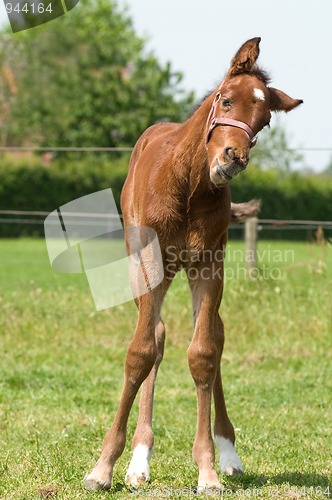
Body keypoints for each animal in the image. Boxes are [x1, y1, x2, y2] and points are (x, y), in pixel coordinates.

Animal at [84, 37, 302, 490]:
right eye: (226, 98)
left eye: (264, 121)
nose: (232, 158)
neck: (188, 183)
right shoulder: (150, 260)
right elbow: (140, 352)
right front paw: (103, 466)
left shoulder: (208, 264)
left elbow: (203, 353)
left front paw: (208, 469)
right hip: (148, 266)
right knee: (157, 335)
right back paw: (139, 460)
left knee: (213, 335)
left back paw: (227, 453)